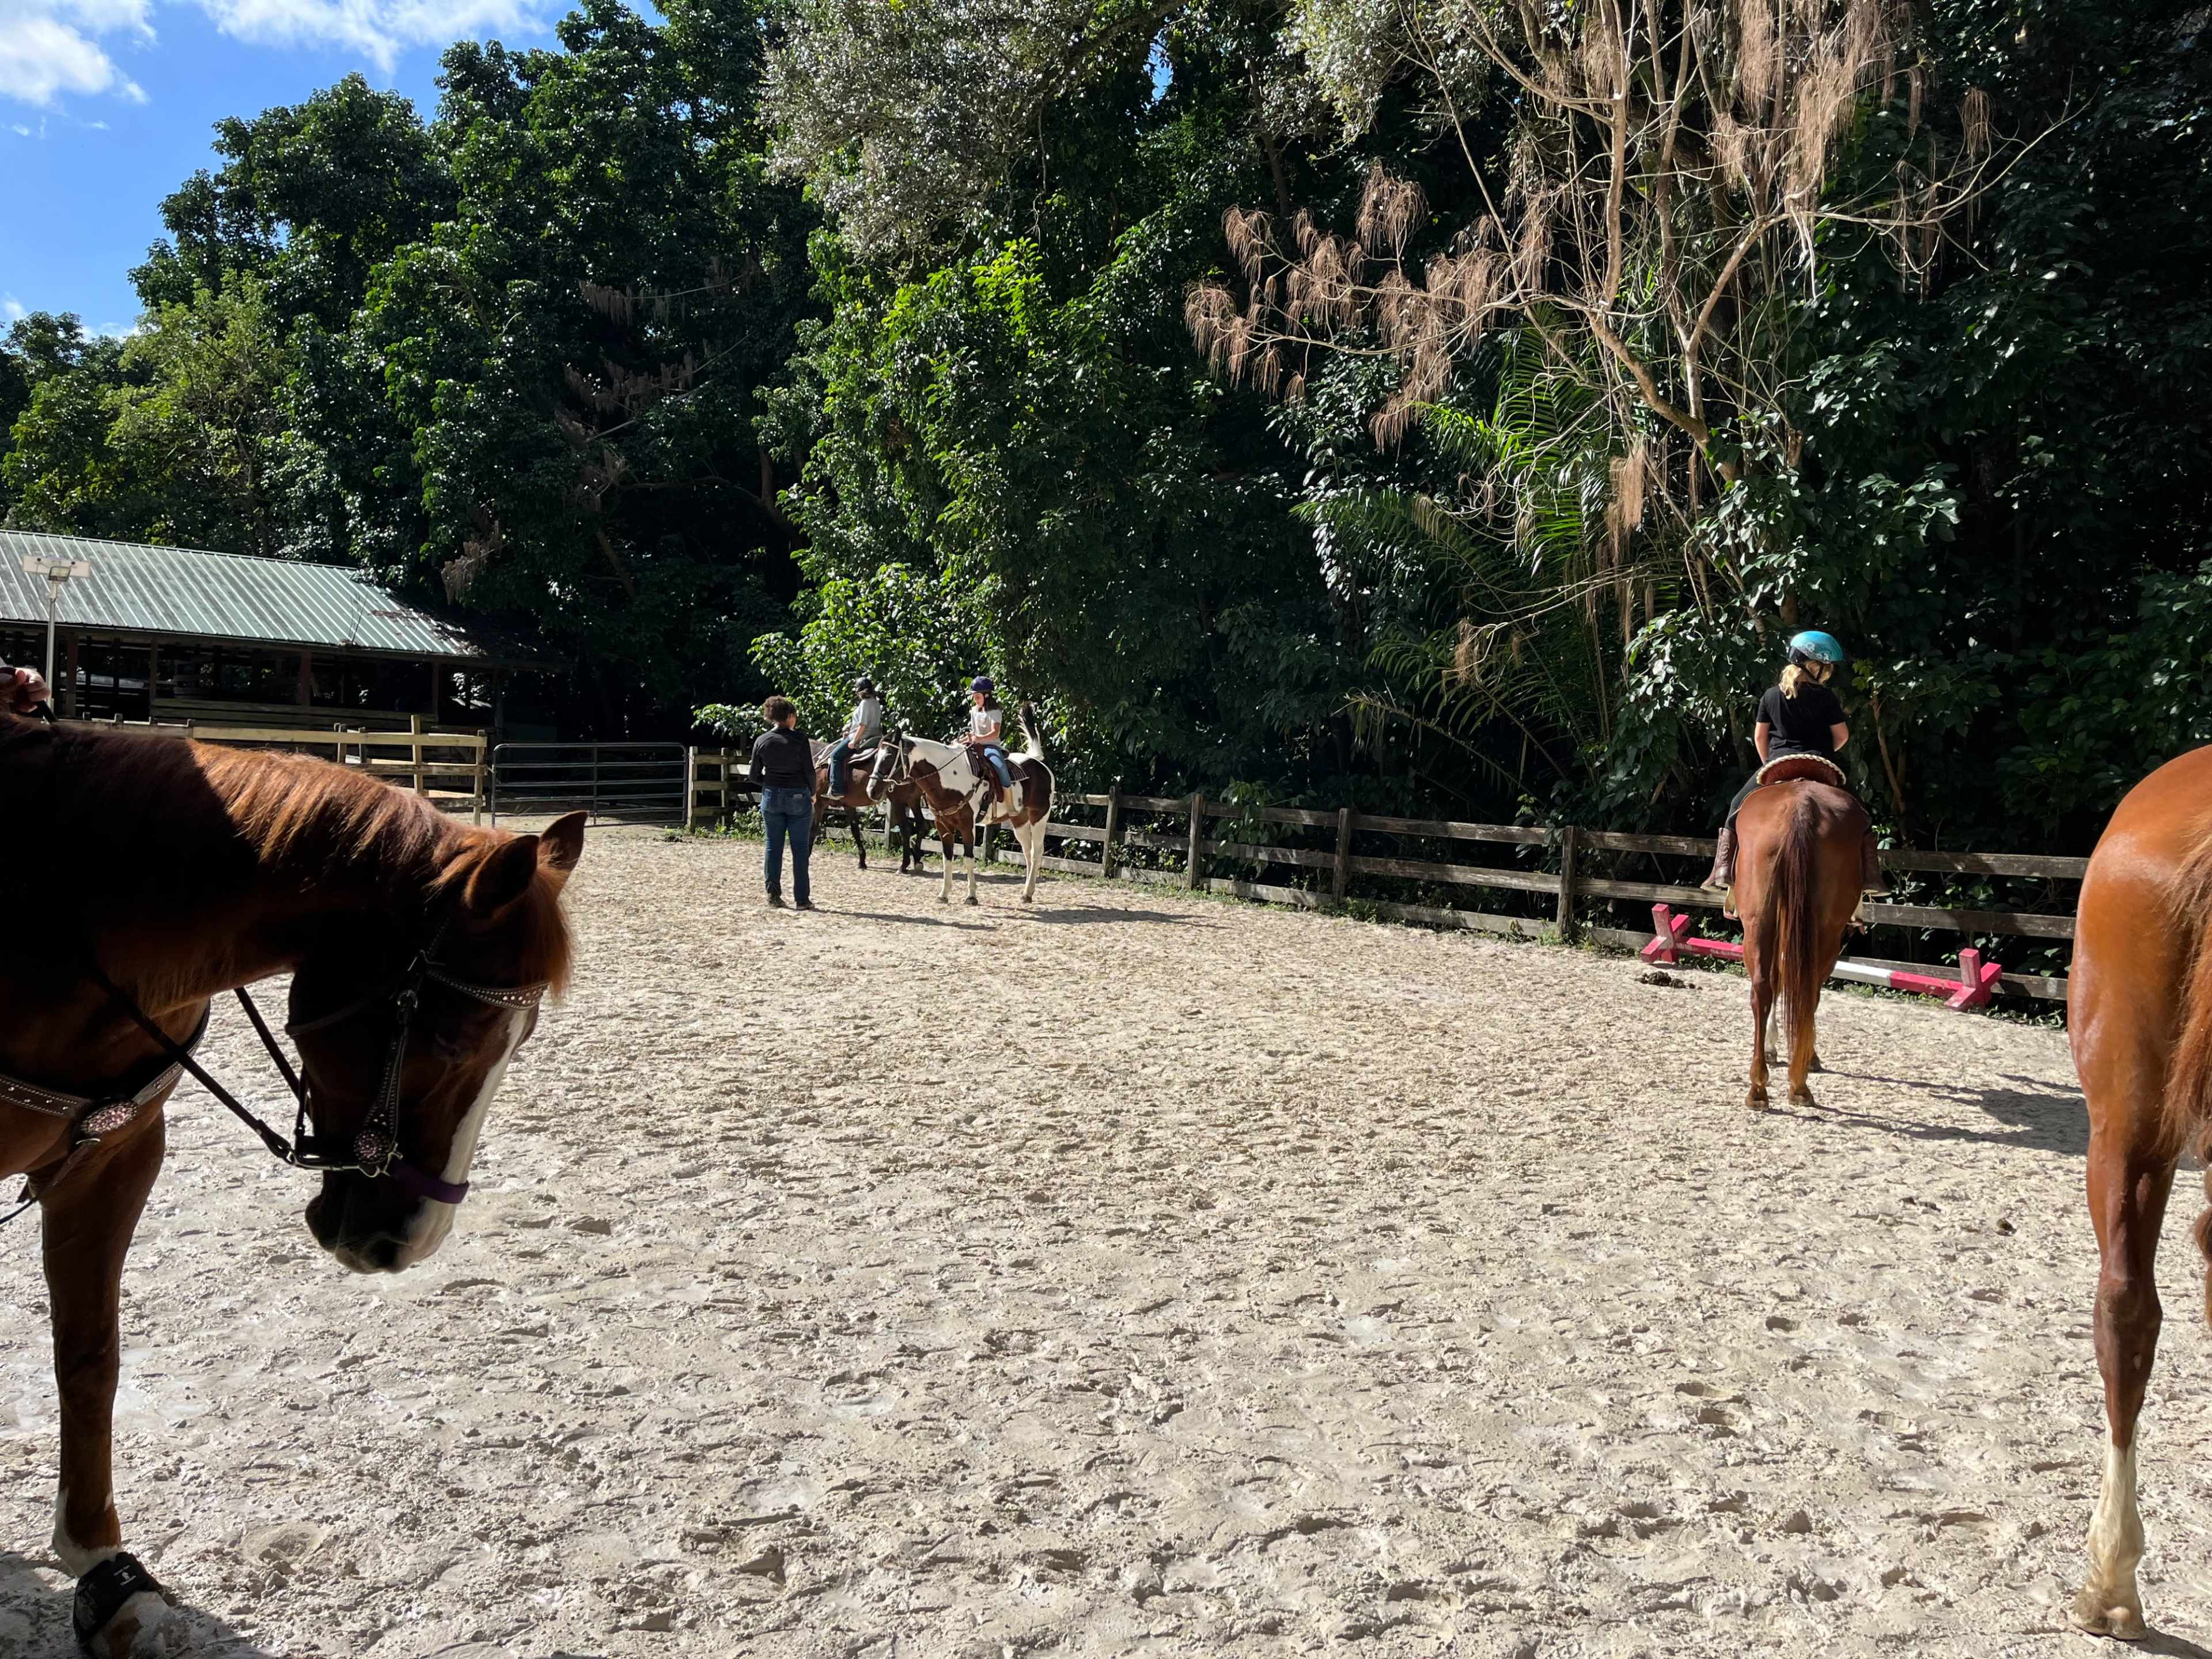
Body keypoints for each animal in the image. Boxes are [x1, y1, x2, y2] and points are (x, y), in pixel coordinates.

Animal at [810, 735, 927, 874]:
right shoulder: (848, 805)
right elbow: (855, 829)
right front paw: (862, 861)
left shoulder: (818, 804)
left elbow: (813, 829)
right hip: (913, 800)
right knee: (920, 823)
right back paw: (917, 859)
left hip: (898, 801)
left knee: (906, 829)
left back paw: (904, 865)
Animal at [868, 702, 1054, 906]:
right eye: (875, 757)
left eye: (889, 757)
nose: (872, 790)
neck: (949, 778)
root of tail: (1038, 763)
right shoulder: (943, 825)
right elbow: (947, 858)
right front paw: (943, 894)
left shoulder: (967, 825)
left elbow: (968, 857)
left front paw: (971, 896)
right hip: (1018, 820)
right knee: (1027, 852)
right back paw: (1026, 892)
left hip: (1039, 817)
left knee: (1037, 852)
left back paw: (1028, 892)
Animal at [1730, 755, 1869, 1110]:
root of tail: (1800, 807)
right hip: (1820, 931)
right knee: (1800, 989)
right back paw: (1794, 1081)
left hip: (1761, 922)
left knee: (1766, 987)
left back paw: (1763, 1086)